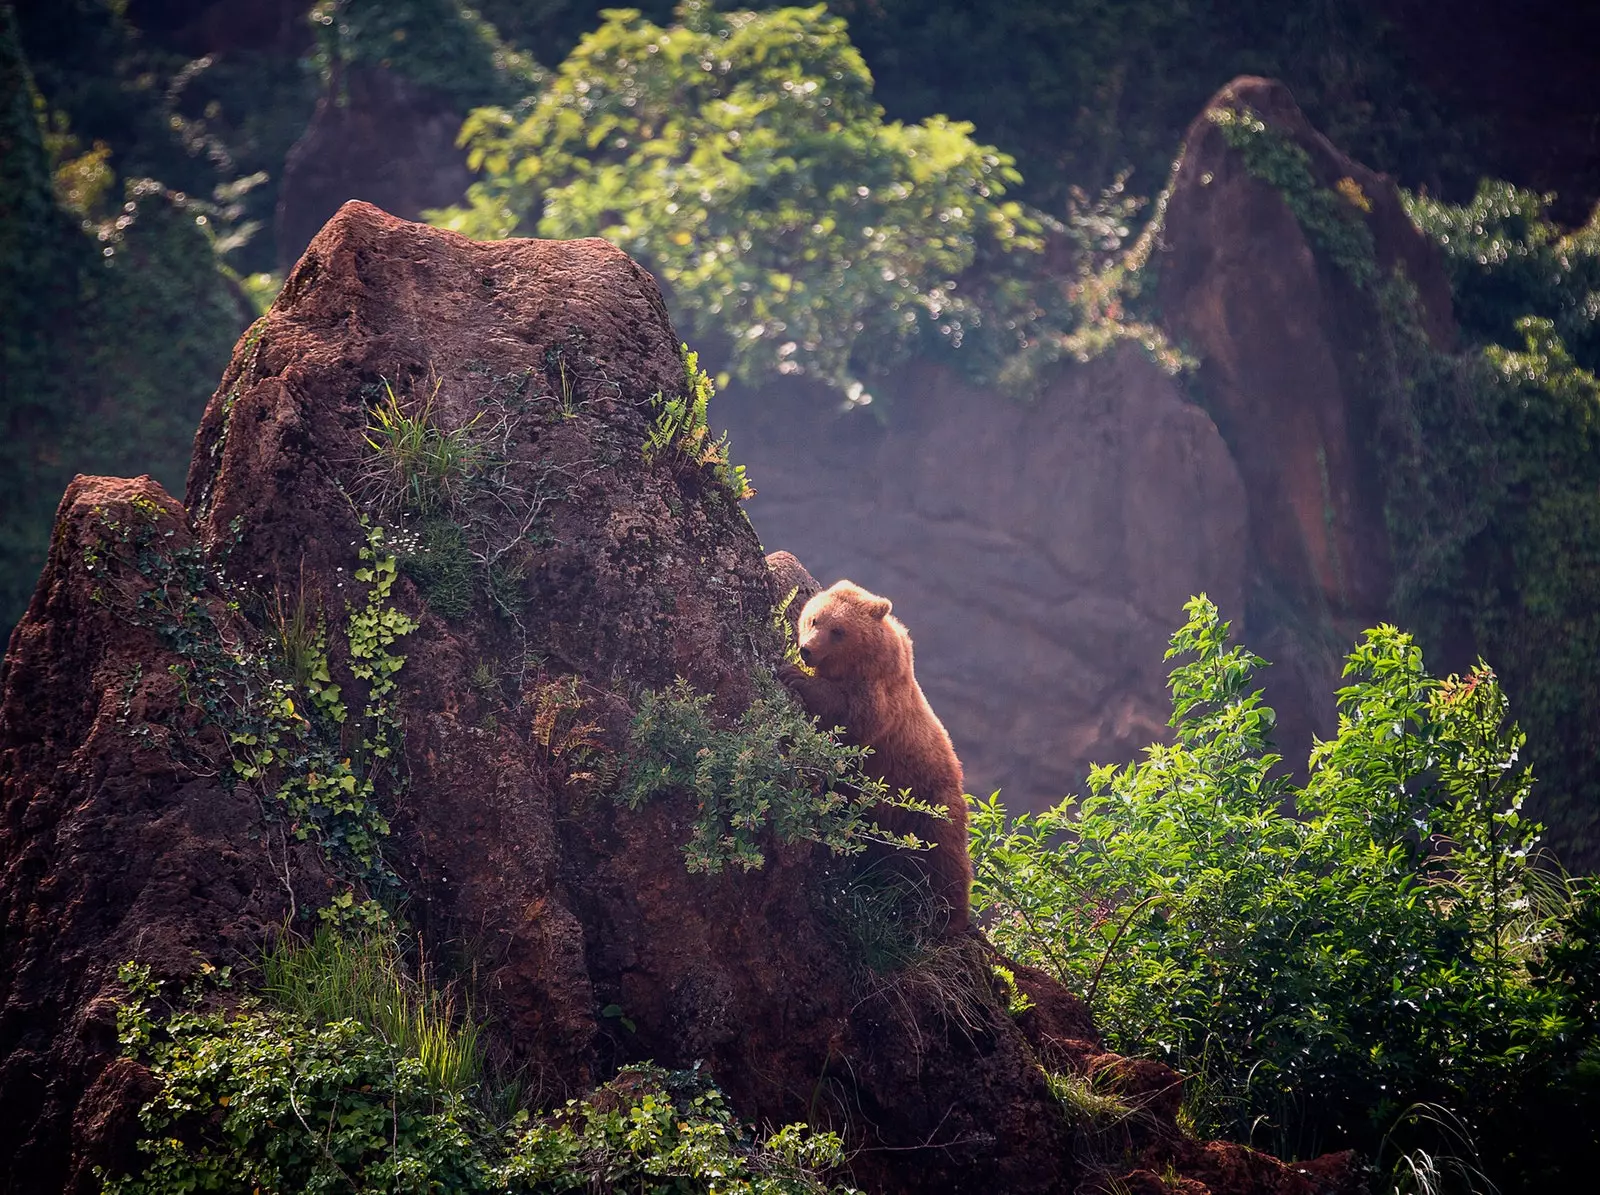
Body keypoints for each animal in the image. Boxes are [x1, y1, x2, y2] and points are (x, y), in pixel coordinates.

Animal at [777, 579, 966, 934]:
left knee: (943, 864)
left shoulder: (880, 700)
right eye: (814, 619)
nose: (807, 649)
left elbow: (850, 713)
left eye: (838, 630)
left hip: (928, 807)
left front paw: (796, 676)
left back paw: (946, 917)